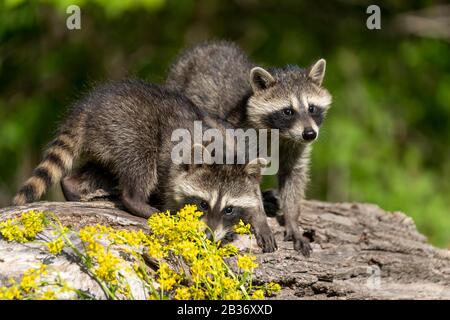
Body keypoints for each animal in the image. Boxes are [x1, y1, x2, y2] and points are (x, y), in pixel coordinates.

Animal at [12, 79, 276, 252]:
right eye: (202, 203)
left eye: (229, 209)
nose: (209, 236)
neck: (223, 153)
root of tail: (87, 109)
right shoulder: (173, 162)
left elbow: (253, 189)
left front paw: (259, 215)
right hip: (128, 125)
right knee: (140, 158)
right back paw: (137, 201)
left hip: (107, 136)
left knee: (101, 169)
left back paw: (73, 186)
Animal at [167, 40, 332, 255]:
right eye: (288, 111)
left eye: (311, 108)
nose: (310, 134)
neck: (281, 135)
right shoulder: (243, 138)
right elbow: (248, 182)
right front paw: (260, 218)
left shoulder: (295, 146)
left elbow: (293, 176)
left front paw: (292, 221)